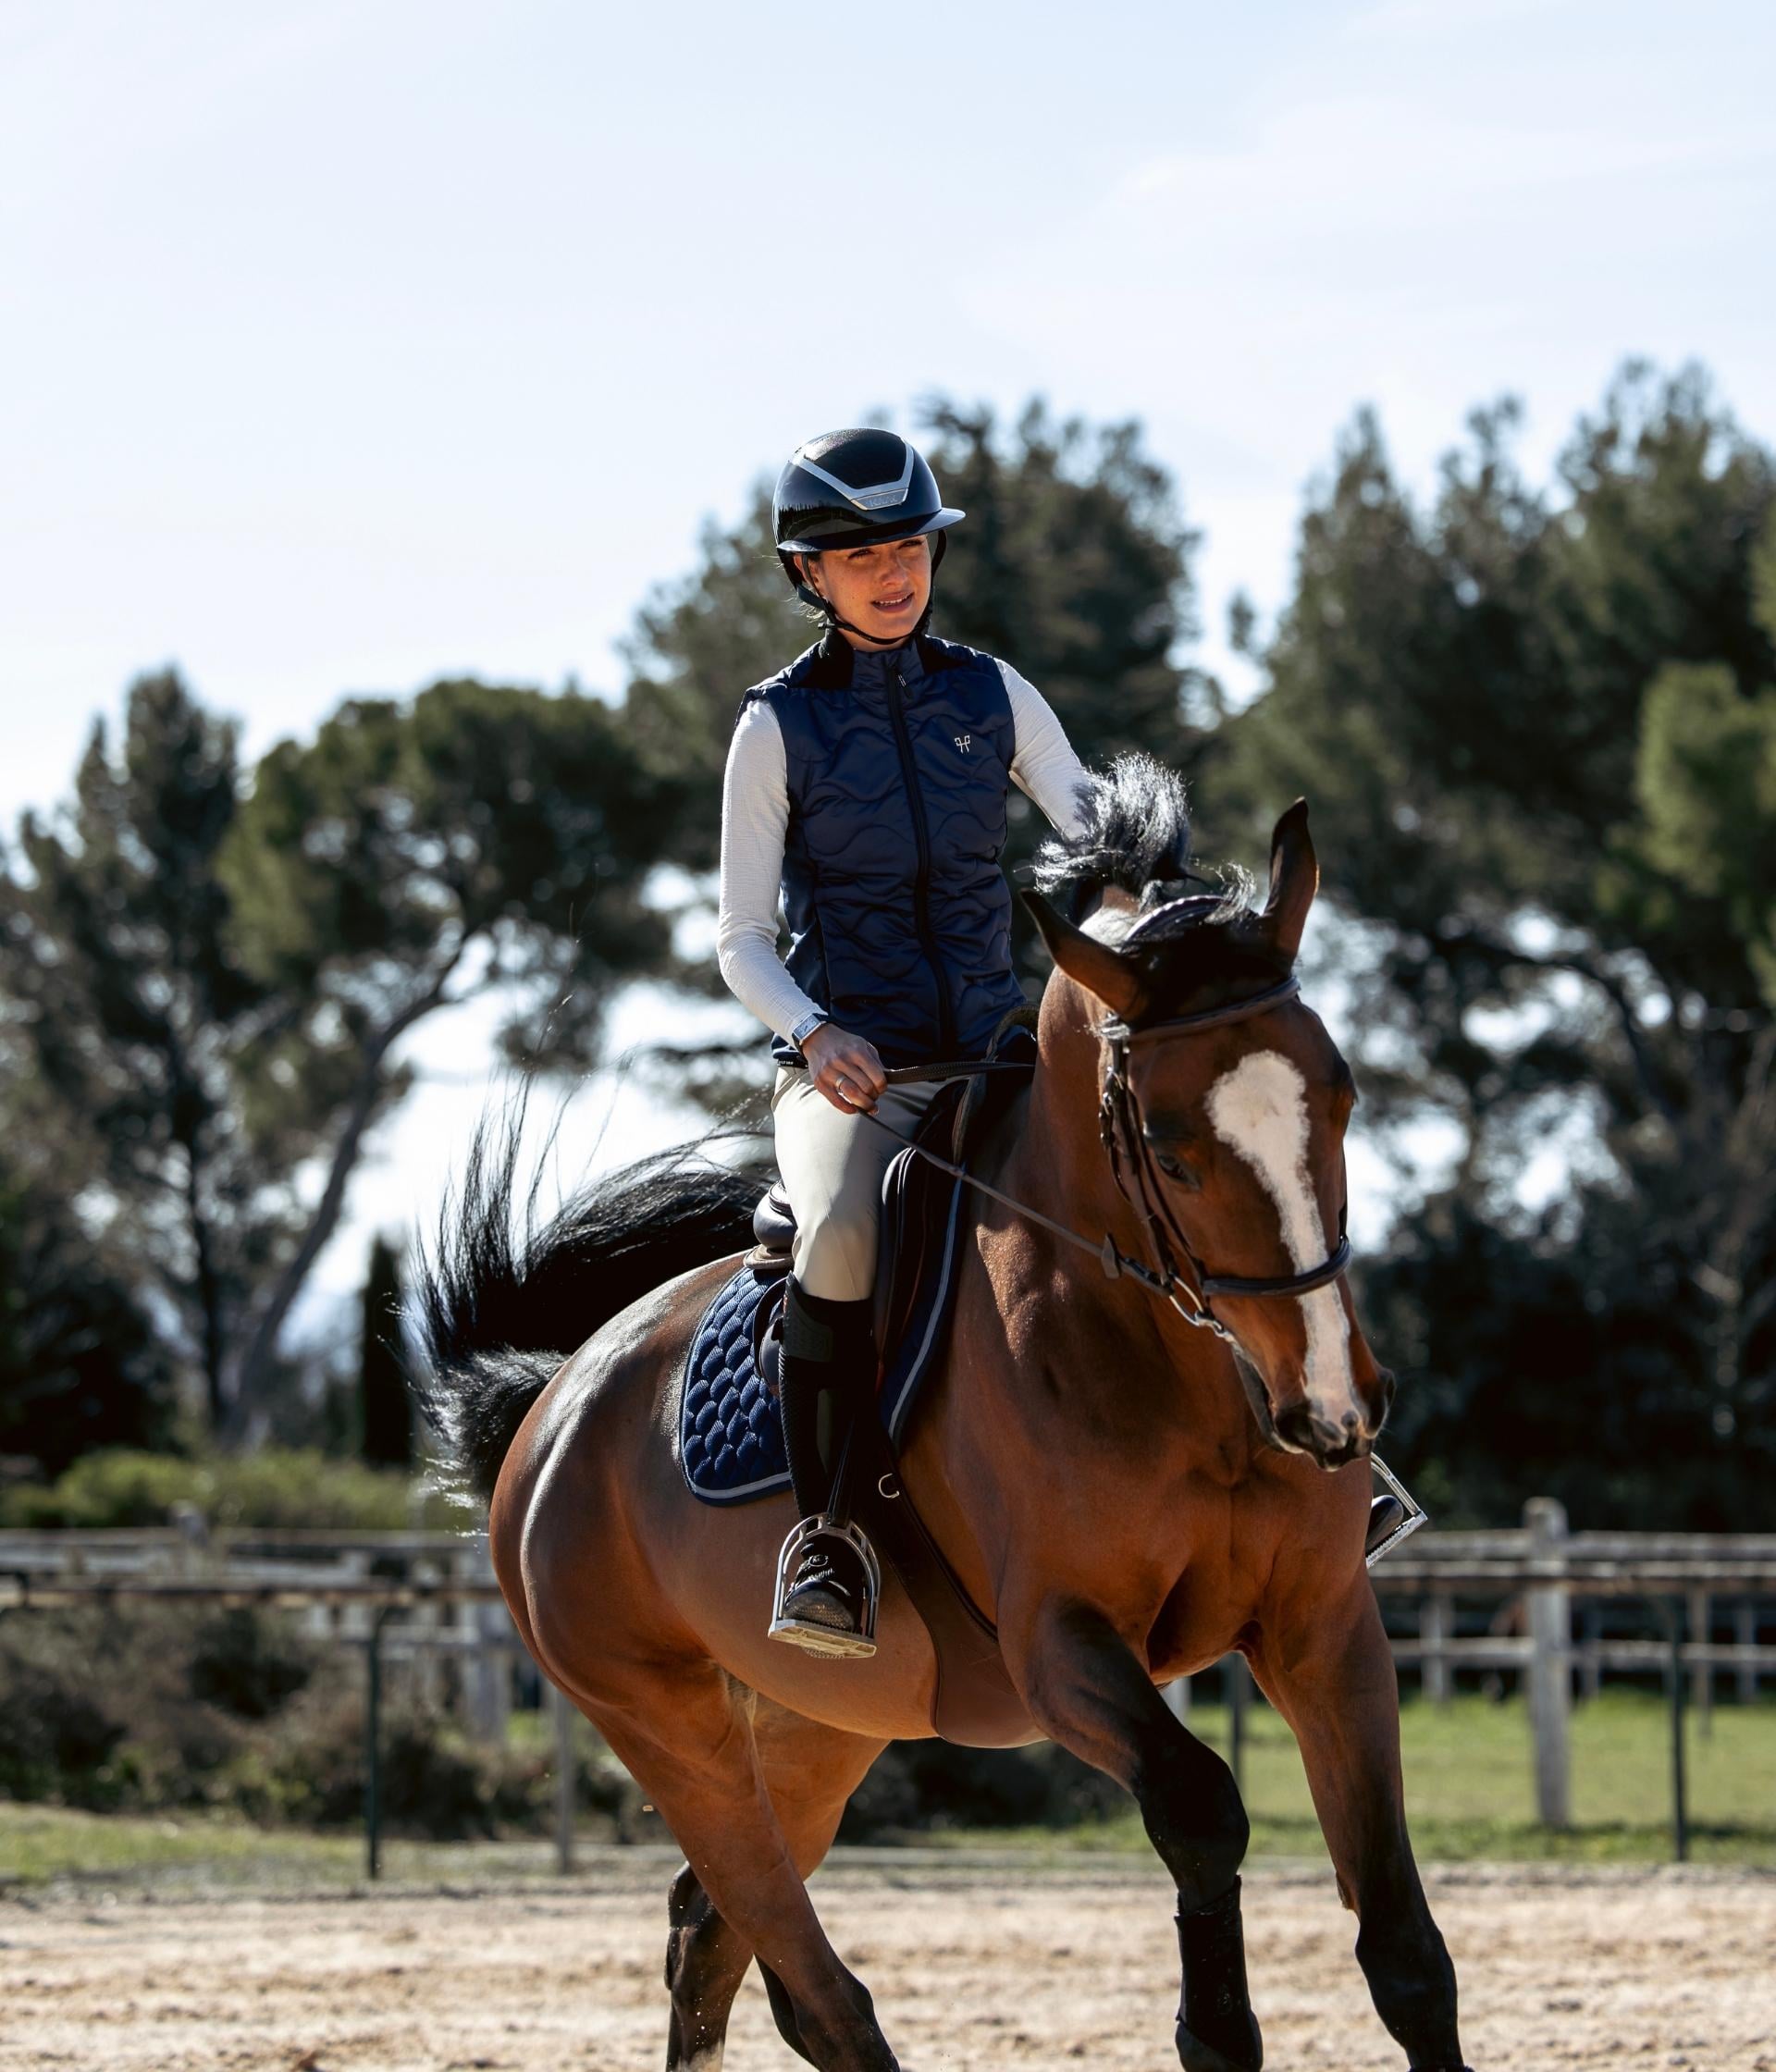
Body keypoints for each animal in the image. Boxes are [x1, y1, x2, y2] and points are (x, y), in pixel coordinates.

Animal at [414, 774, 1472, 2072]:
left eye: (1342, 1099)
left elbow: (1407, 1953)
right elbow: (1199, 1811)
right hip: (672, 1731)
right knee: (809, 1979)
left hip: (817, 1728)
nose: (1330, 1407)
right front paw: (1214, 2019)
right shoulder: (1057, 1644)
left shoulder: (1324, 1624)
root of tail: (553, 1403)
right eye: (1171, 1150)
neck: (1179, 1377)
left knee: (713, 1937)